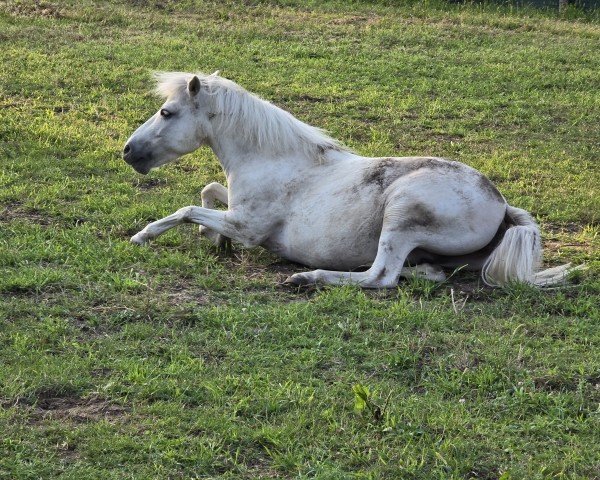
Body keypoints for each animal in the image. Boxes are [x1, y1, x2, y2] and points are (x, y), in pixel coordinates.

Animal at [122, 71, 576, 288]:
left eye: (167, 113)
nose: (128, 151)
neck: (274, 158)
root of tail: (501, 204)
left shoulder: (249, 226)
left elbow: (187, 209)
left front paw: (142, 236)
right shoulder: (235, 210)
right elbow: (208, 193)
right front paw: (216, 241)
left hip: (401, 216)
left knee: (380, 277)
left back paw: (307, 278)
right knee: (424, 274)